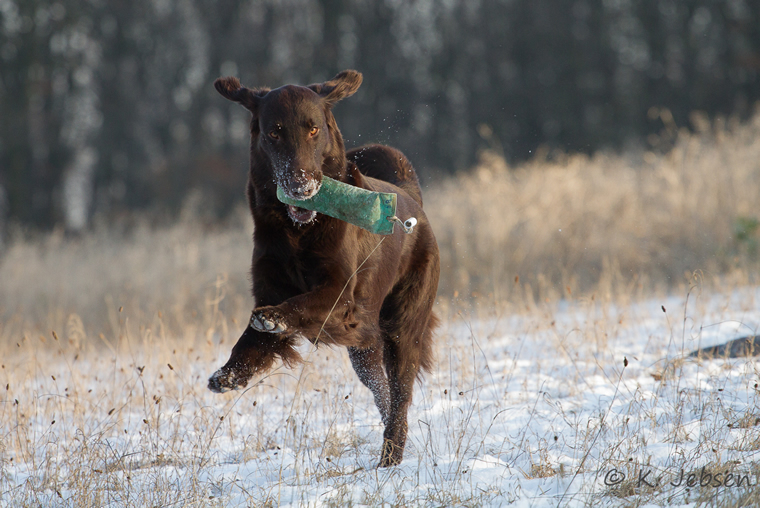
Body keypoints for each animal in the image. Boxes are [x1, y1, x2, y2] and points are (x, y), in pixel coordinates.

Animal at [207, 70, 440, 467]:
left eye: (314, 129)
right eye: (274, 133)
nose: (300, 186)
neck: (298, 231)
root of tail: (411, 200)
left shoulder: (341, 297)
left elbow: (298, 306)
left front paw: (274, 318)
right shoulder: (268, 284)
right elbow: (250, 337)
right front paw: (229, 374)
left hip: (402, 326)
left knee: (400, 394)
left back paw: (391, 456)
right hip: (365, 349)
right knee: (382, 390)